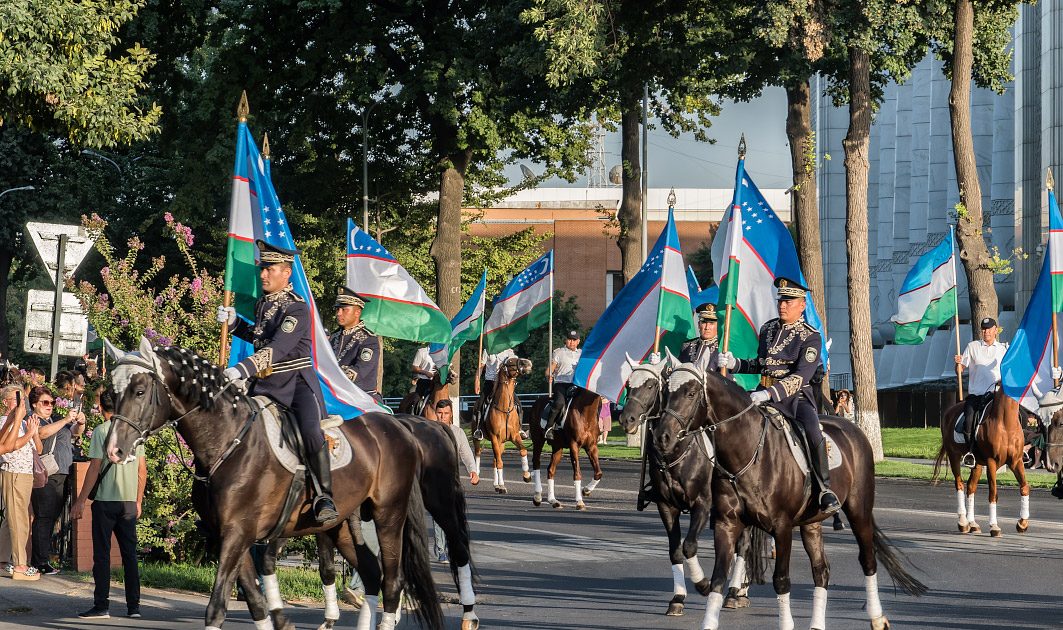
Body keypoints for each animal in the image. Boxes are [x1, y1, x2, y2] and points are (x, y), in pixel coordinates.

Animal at [103, 339, 444, 628]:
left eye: (140, 391)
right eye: (112, 393)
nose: (114, 450)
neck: (229, 440)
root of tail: (397, 425)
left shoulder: (239, 532)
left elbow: (217, 607)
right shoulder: (231, 534)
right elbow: (255, 602)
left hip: (389, 515)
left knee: (392, 582)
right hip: (342, 524)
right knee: (372, 574)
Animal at [474, 356, 531, 492]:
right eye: (510, 362)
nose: (528, 363)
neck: (504, 409)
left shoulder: (514, 436)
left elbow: (523, 450)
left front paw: (527, 475)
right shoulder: (495, 438)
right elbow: (500, 463)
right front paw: (502, 486)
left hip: (502, 443)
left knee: (495, 459)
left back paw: (497, 484)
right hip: (479, 439)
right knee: (478, 454)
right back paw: (477, 476)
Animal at [620, 356, 769, 616]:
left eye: (651, 385)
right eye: (628, 385)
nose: (626, 419)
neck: (677, 452)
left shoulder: (702, 504)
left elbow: (689, 546)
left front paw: (704, 584)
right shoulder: (666, 506)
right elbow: (675, 550)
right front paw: (677, 598)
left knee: (743, 545)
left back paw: (734, 592)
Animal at [654, 361, 922, 628]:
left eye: (691, 393)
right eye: (666, 392)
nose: (661, 437)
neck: (748, 452)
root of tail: (852, 428)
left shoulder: (781, 527)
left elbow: (781, 580)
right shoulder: (726, 524)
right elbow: (717, 578)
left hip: (859, 511)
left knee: (868, 560)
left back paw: (877, 618)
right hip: (811, 523)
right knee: (821, 570)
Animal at [931, 388, 1028, 535]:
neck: (1005, 422)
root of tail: (949, 411)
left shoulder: (1016, 461)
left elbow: (1024, 487)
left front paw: (1022, 523)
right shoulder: (992, 462)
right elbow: (993, 493)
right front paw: (994, 526)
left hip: (977, 464)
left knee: (971, 487)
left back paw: (972, 524)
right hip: (954, 455)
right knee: (959, 484)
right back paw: (963, 522)